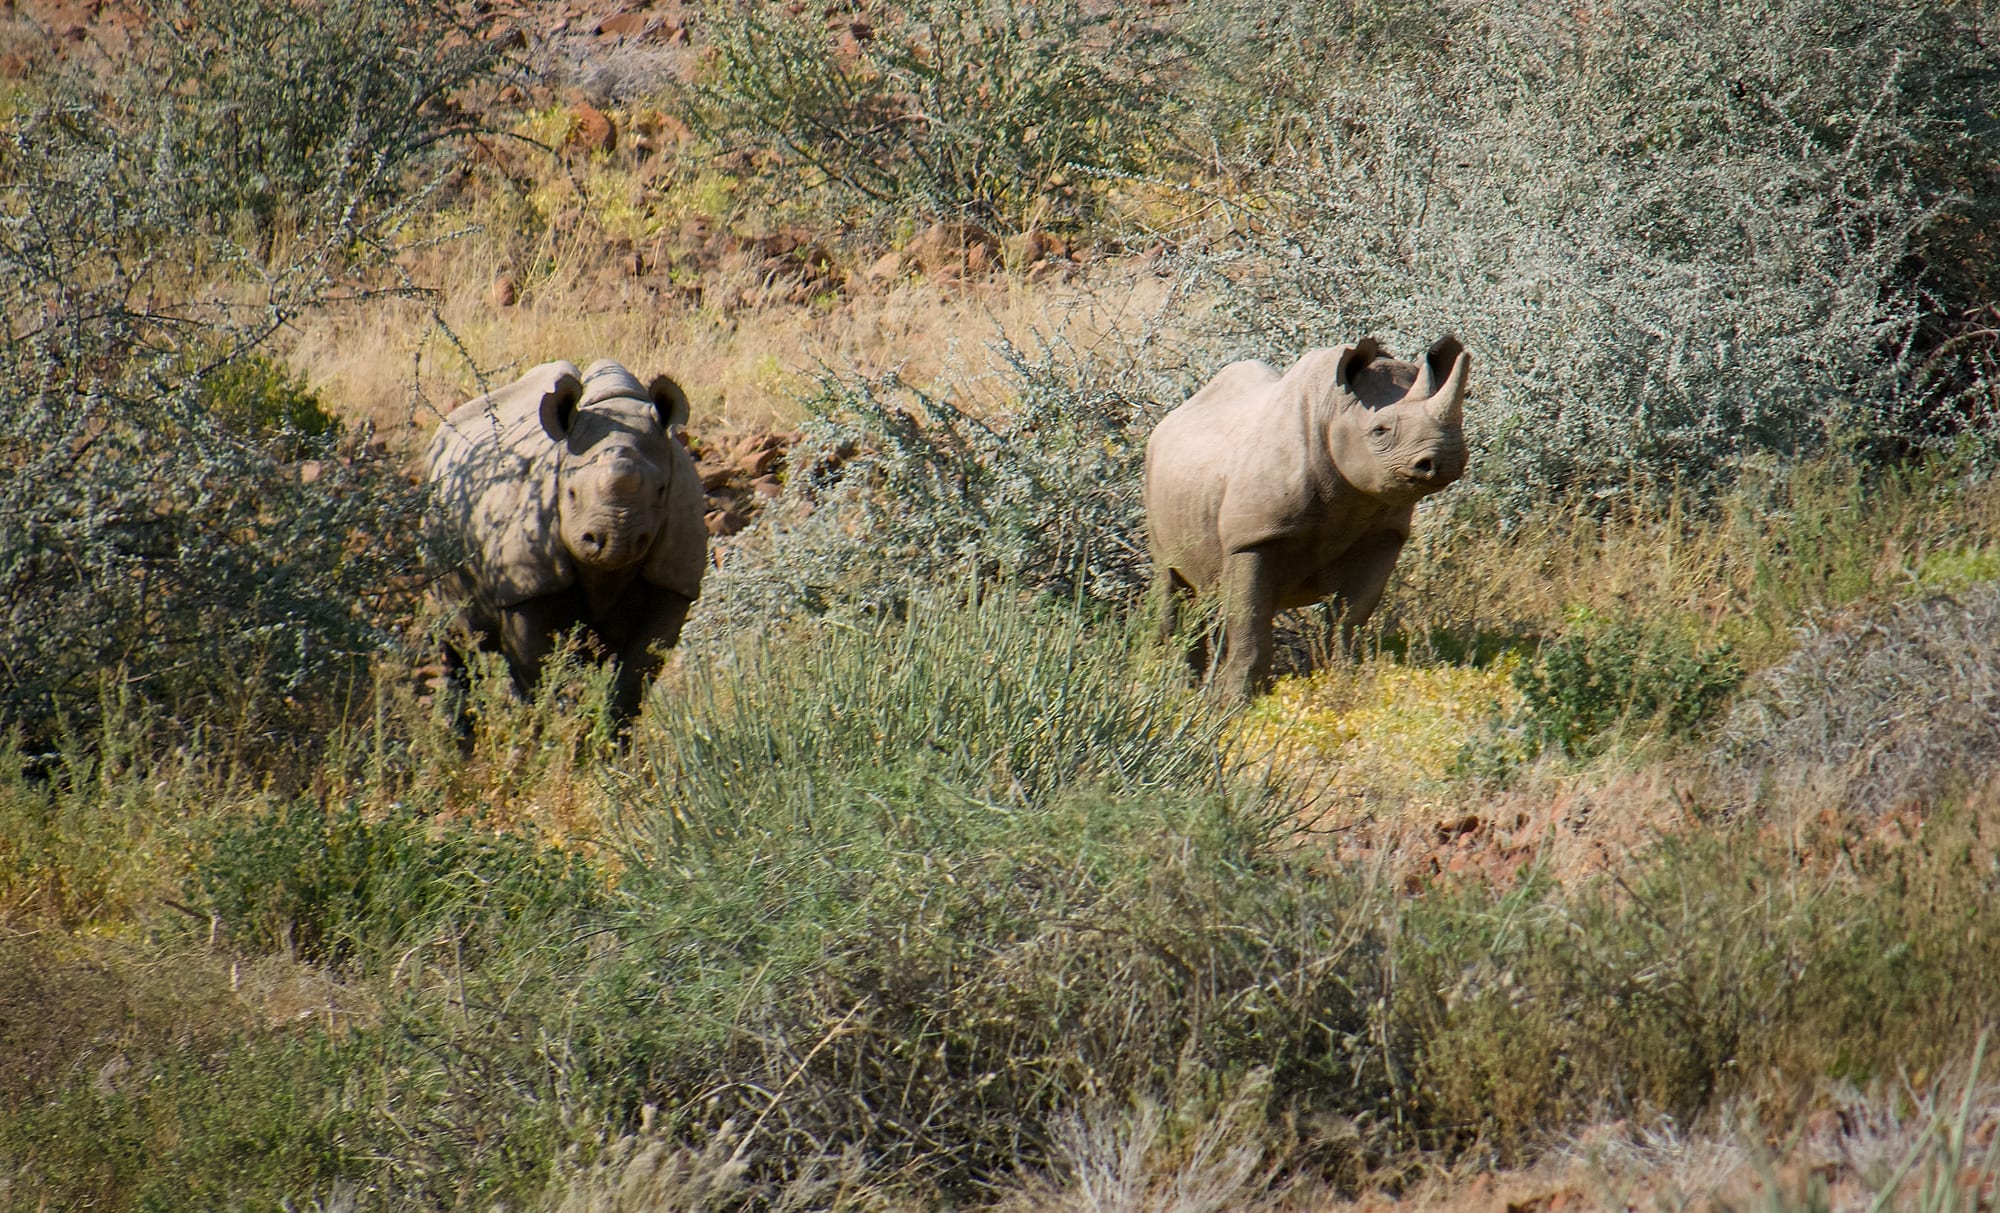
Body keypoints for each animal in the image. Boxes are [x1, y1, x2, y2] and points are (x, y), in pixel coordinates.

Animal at [425, 359, 707, 724]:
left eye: (661, 491)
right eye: (570, 493)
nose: (613, 540)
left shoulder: (673, 579)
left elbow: (636, 673)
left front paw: (608, 733)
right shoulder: (528, 583)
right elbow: (537, 667)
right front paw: (558, 723)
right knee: (458, 634)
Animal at [1143, 336, 1470, 699]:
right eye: (1379, 431)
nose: (1446, 460)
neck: (1333, 409)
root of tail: (1172, 416)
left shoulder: (1383, 534)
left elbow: (1350, 618)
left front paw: (1343, 678)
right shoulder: (1253, 538)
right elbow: (1249, 620)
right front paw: (1236, 701)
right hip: (1153, 472)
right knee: (1172, 580)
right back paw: (1175, 690)